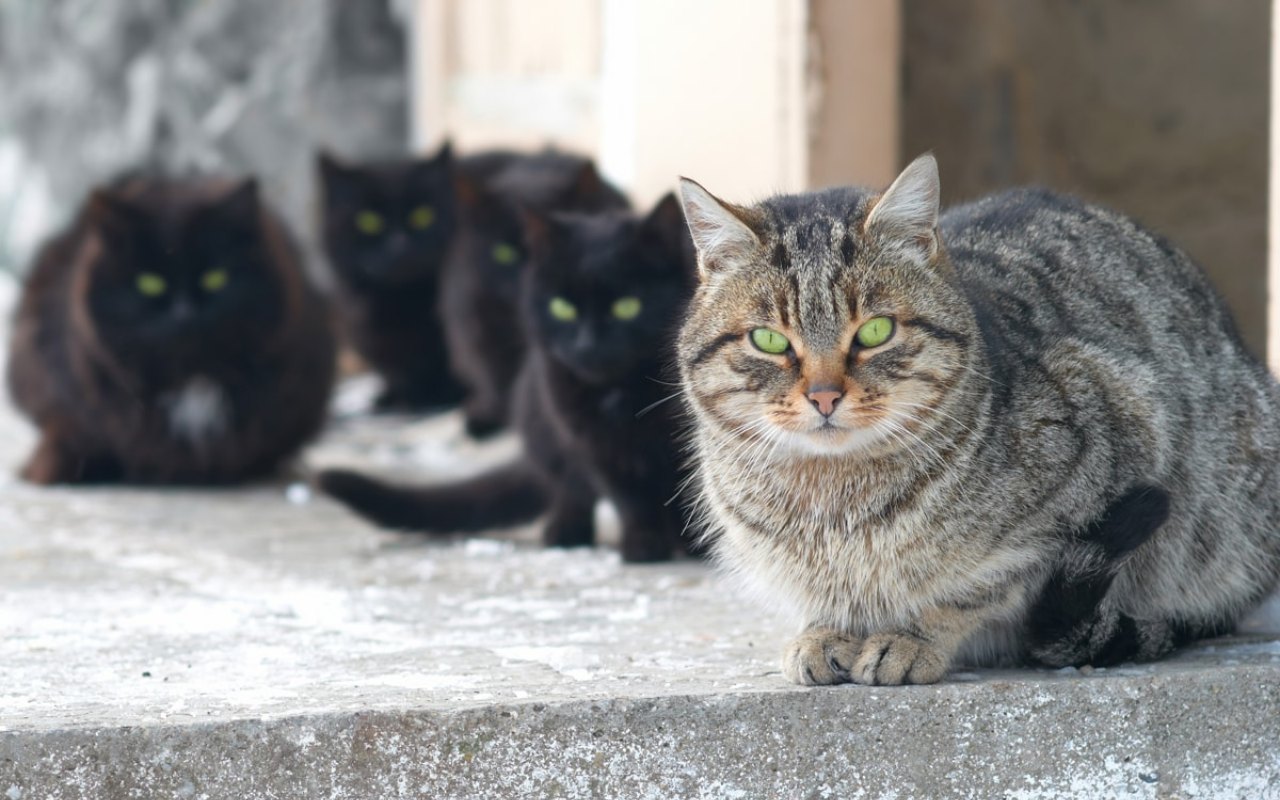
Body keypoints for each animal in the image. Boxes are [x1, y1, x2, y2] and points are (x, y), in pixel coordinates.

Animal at [320, 193, 701, 560]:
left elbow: (686, 495)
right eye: (563, 307)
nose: (587, 343)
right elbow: (630, 499)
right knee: (570, 487)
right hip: (542, 423)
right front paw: (644, 544)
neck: (621, 395)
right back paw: (565, 531)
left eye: (627, 306)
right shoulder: (594, 443)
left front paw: (691, 544)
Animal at [670, 152, 1280, 680]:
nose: (824, 396)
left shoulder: (1112, 435)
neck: (835, 501)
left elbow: (975, 588)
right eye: (769, 340)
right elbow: (827, 599)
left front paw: (910, 636)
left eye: (876, 330)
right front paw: (823, 632)